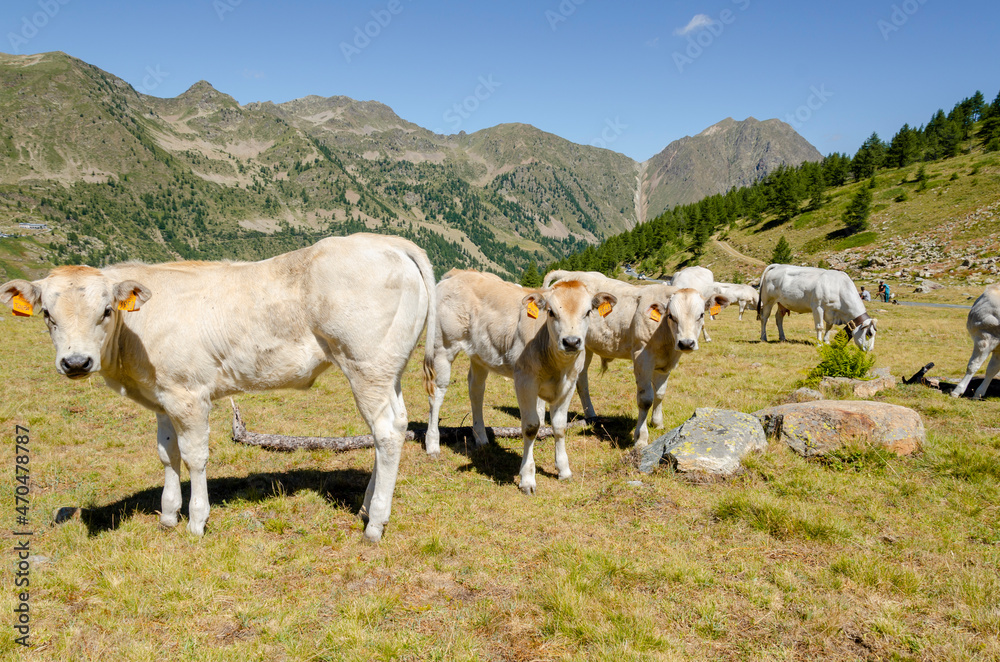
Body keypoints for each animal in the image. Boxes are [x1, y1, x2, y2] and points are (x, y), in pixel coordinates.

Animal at [0, 234, 437, 543]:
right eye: (47, 314)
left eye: (106, 311)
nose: (76, 362)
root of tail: (386, 241)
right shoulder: (163, 395)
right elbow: (167, 454)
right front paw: (168, 516)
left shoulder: (189, 395)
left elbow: (195, 457)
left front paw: (196, 521)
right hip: (388, 369)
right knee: (394, 426)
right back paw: (366, 508)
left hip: (365, 365)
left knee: (386, 433)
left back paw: (375, 524)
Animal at [424, 270, 616, 495]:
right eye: (551, 312)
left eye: (587, 312)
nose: (571, 342)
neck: (556, 364)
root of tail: (457, 274)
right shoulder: (525, 380)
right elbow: (531, 427)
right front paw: (527, 479)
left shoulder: (569, 383)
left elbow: (559, 426)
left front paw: (564, 470)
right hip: (442, 347)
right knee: (437, 393)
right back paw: (433, 444)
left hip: (479, 355)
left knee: (476, 390)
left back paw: (481, 437)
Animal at [544, 270, 730, 447]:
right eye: (671, 316)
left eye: (701, 315)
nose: (686, 343)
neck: (666, 338)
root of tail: (569, 275)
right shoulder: (642, 358)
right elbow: (645, 399)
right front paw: (641, 438)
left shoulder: (667, 363)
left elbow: (660, 394)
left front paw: (657, 423)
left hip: (585, 347)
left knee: (582, 380)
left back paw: (591, 415)